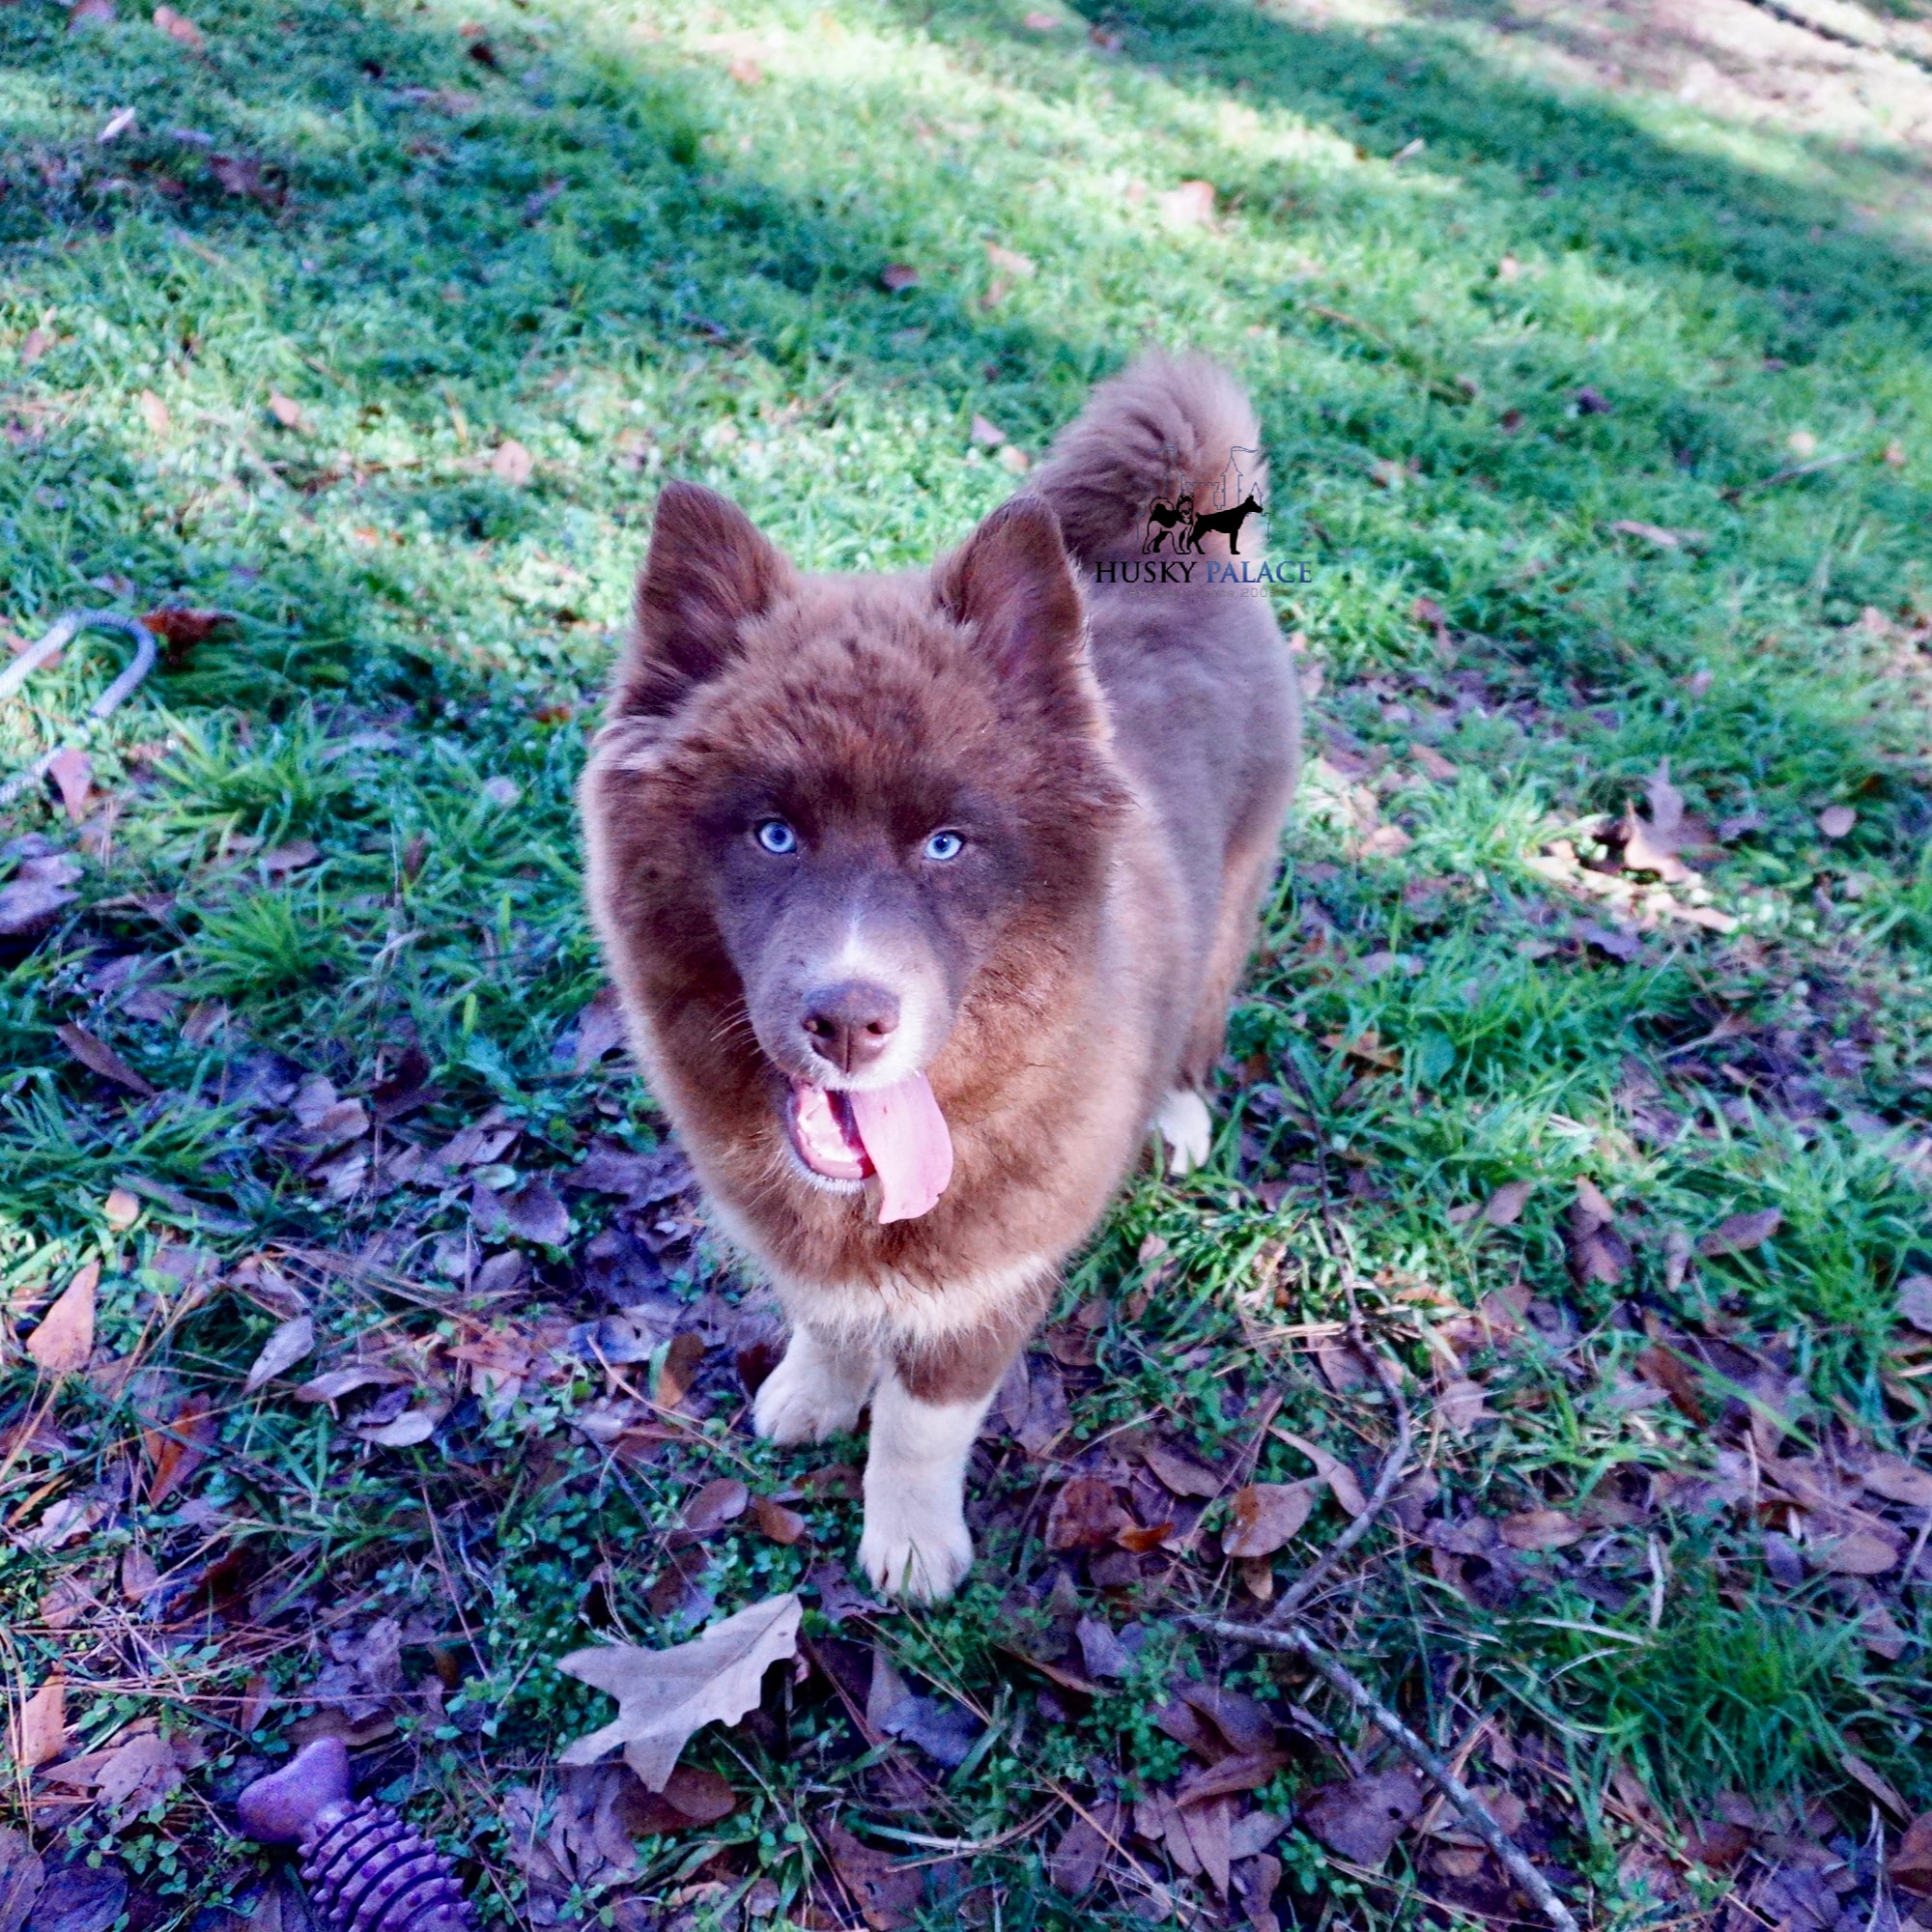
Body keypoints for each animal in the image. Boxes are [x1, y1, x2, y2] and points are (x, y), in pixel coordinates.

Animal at [572, 352, 1298, 1600]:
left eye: (948, 844)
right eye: (772, 833)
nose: (847, 1019)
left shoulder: (992, 1268)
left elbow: (923, 1418)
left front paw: (909, 1545)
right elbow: (828, 1311)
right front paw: (811, 1394)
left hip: (1239, 889)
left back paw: (1179, 1114)